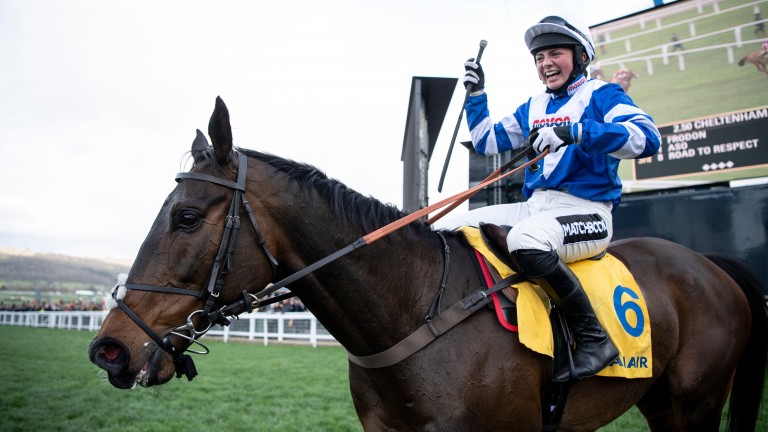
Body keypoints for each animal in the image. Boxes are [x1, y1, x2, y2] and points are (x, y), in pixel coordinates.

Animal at [91, 98, 768, 432]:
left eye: (185, 216)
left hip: (697, 403)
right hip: (659, 402)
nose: (109, 349)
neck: (415, 313)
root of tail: (709, 263)